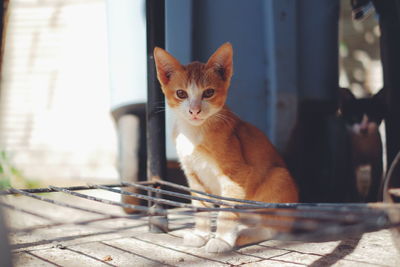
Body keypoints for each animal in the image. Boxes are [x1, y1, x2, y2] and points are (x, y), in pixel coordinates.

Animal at [155, 43, 298, 253]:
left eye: (208, 93)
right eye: (181, 93)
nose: (194, 110)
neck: (194, 132)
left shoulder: (236, 174)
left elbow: (227, 210)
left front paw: (221, 240)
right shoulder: (193, 175)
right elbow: (201, 206)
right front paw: (201, 235)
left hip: (279, 176)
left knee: (273, 228)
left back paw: (241, 235)